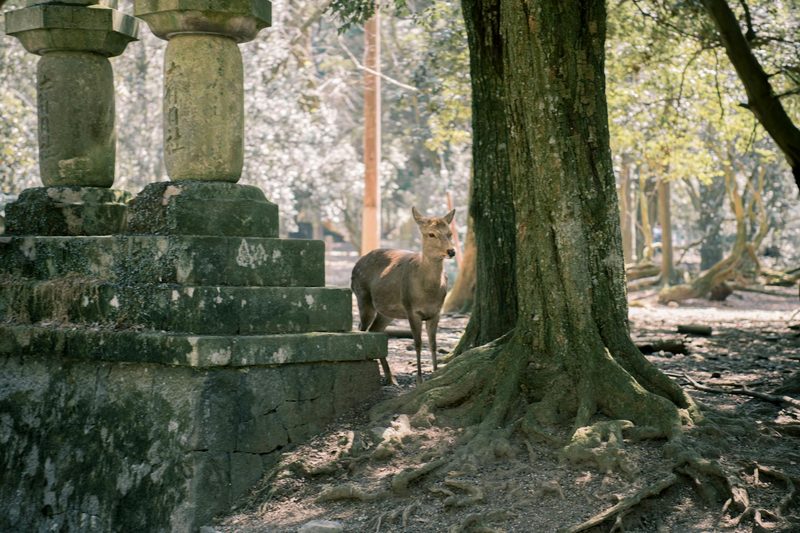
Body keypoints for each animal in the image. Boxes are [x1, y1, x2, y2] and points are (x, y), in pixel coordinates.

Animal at [351, 207, 456, 385]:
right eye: (431, 234)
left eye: (449, 233)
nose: (451, 251)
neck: (427, 292)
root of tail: (356, 264)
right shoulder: (411, 309)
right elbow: (418, 343)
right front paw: (419, 379)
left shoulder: (437, 312)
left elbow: (433, 344)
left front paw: (435, 373)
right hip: (362, 297)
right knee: (362, 329)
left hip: (386, 312)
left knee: (375, 331)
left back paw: (391, 377)